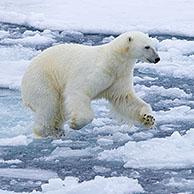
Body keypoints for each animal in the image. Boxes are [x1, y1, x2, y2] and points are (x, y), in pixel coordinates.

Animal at [21, 31, 160, 137]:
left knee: (59, 109)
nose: (157, 59)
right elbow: (79, 91)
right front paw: (76, 124)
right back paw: (45, 131)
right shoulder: (97, 70)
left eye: (155, 46)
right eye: (147, 47)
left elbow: (124, 99)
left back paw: (58, 130)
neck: (113, 60)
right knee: (48, 105)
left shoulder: (119, 77)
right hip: (42, 80)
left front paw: (149, 118)